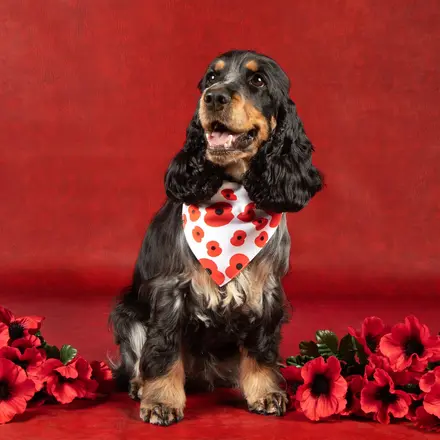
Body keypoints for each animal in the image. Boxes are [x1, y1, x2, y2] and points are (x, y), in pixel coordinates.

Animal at [110, 49, 324, 424]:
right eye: (211, 78)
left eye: (258, 80)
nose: (213, 97)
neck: (233, 194)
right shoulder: (170, 290)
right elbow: (163, 349)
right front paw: (161, 402)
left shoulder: (266, 291)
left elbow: (261, 348)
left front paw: (266, 393)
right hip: (128, 312)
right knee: (138, 357)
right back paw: (139, 385)